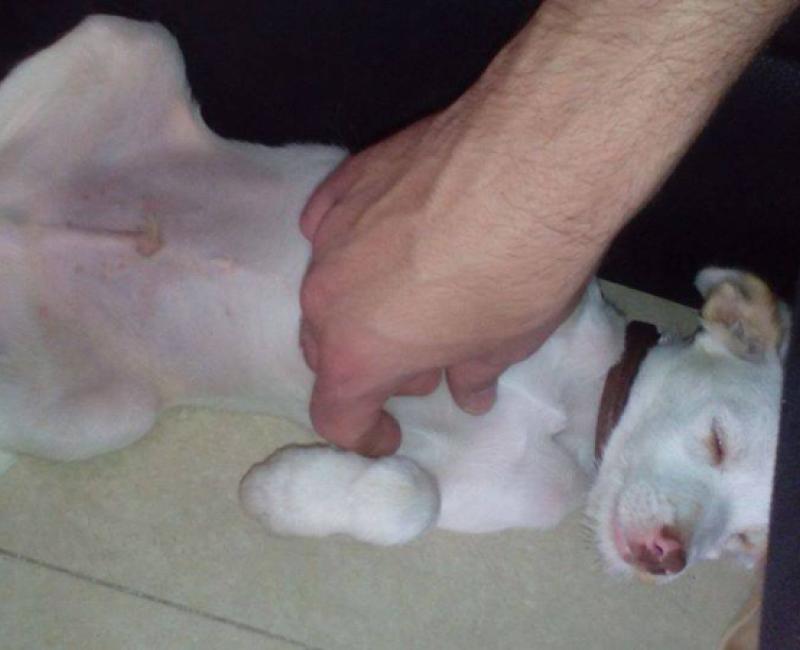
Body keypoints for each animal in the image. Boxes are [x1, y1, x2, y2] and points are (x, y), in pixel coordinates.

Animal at [0, 16, 788, 584]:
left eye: (747, 542)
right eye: (718, 439)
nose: (668, 558)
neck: (576, 408)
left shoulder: (476, 490)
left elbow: (412, 498)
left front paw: (285, 491)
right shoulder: (510, 258)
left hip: (95, 416)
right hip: (132, 43)